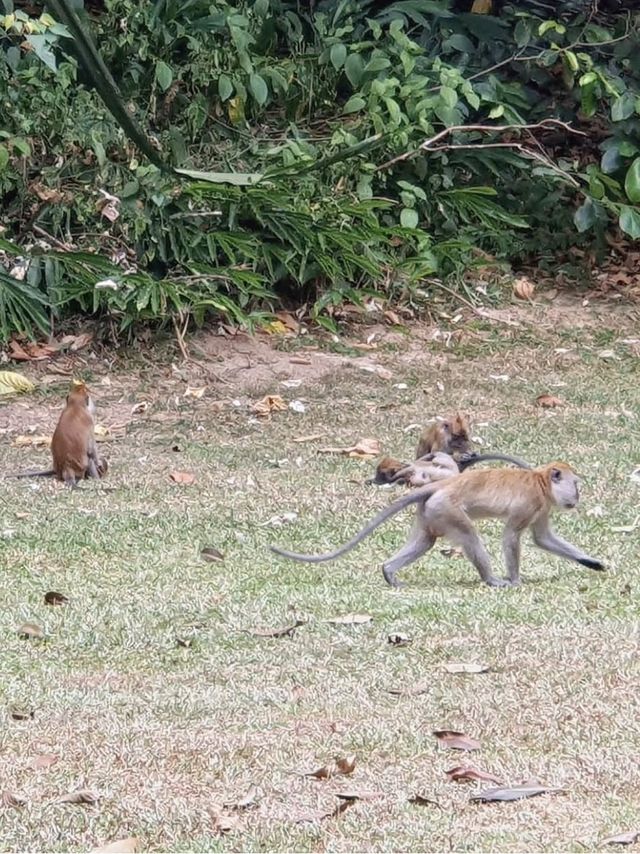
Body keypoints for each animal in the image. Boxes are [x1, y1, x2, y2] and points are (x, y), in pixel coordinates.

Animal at [270, 462, 604, 588]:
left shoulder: (542, 507)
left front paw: (592, 562)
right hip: (448, 509)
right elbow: (512, 535)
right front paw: (514, 580)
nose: (577, 496)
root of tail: (443, 484)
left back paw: (388, 572)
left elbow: (543, 538)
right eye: (576, 485)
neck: (540, 480)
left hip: (430, 512)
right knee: (470, 535)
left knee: (425, 541)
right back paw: (489, 579)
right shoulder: (531, 502)